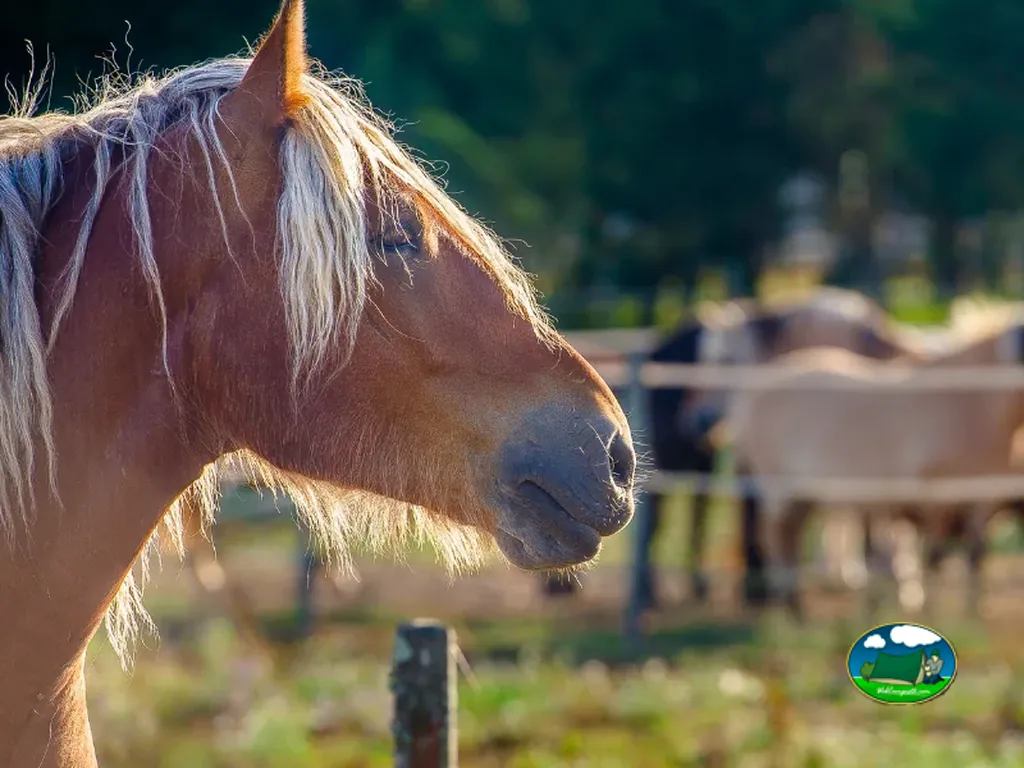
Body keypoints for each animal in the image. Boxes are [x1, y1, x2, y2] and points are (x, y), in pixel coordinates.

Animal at [728, 321, 1024, 618]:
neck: (971, 401)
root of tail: (753, 392)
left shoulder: (981, 501)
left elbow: (975, 556)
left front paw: (974, 615)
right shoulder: (933, 502)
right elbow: (934, 557)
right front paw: (932, 613)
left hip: (804, 497)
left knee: (792, 537)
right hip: (779, 490)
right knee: (776, 538)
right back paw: (793, 609)